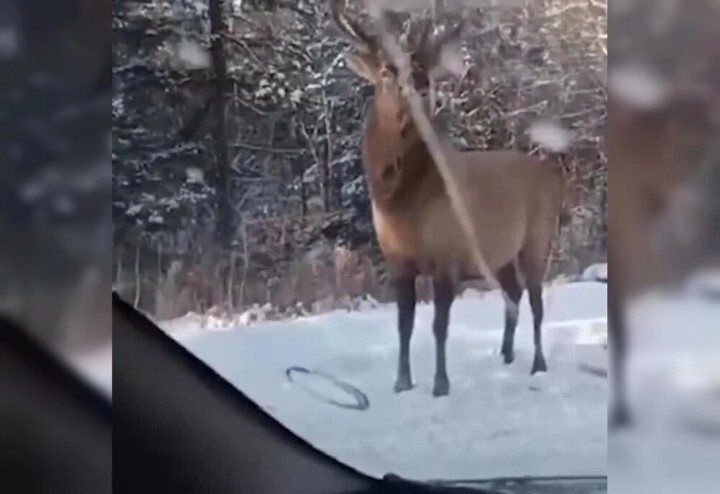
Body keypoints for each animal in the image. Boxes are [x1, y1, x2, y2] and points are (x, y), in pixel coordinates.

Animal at [330, 0, 572, 396]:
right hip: (500, 252)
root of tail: (554, 176)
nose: (419, 87)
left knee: (536, 300)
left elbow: (438, 325)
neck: (401, 206)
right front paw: (401, 382)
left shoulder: (448, 253)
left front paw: (440, 384)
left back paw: (538, 364)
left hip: (537, 237)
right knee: (513, 294)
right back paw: (505, 354)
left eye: (424, 70)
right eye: (386, 70)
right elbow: (405, 325)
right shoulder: (397, 260)